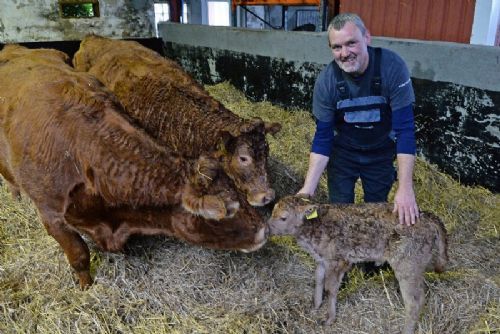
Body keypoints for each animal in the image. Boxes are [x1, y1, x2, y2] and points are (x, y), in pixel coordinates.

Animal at [270, 194, 450, 334]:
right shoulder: (322, 260)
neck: (314, 227)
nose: (268, 227)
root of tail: (426, 216)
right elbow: (319, 280)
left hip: (408, 264)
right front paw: (315, 306)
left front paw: (329, 319)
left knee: (414, 302)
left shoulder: (338, 260)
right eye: (272, 211)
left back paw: (406, 330)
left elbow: (331, 289)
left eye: (283, 217)